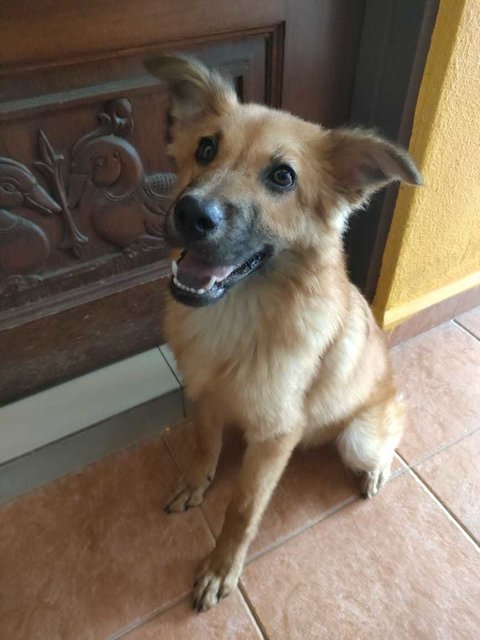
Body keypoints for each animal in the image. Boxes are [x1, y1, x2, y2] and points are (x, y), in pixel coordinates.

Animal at [145, 57, 420, 612]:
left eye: (282, 177)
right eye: (205, 148)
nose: (191, 213)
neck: (239, 312)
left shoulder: (275, 438)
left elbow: (243, 510)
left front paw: (221, 568)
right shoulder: (205, 396)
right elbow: (204, 445)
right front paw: (197, 480)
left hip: (359, 436)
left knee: (392, 431)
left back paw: (377, 469)